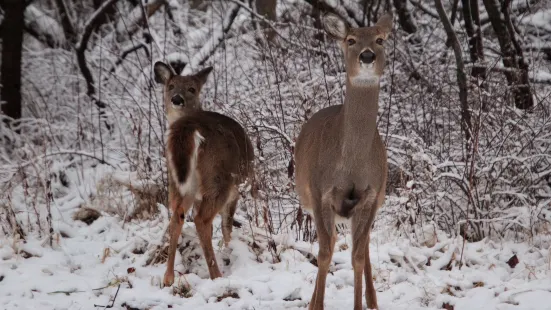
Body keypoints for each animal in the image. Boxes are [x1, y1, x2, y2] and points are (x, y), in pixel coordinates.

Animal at [154, 61, 256, 286]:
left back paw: (168, 277)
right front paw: (229, 249)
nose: (177, 99)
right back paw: (216, 276)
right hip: (219, 178)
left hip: (177, 181)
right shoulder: (237, 190)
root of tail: (188, 126)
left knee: (177, 217)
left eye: (192, 88)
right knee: (202, 219)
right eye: (171, 86)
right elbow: (227, 225)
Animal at [294, 12, 392, 310]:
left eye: (380, 39)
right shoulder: (320, 193)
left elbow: (357, 256)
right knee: (332, 242)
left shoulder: (371, 196)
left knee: (363, 243)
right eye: (350, 40)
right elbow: (325, 253)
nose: (367, 55)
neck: (350, 162)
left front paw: (360, 305)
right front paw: (316, 305)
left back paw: (372, 300)